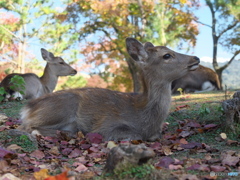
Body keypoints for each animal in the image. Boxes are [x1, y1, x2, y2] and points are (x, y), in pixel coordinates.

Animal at [18, 38, 200, 141]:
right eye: (166, 55)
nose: (196, 58)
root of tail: (27, 108)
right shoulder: (107, 125)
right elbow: (133, 135)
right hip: (62, 107)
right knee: (27, 127)